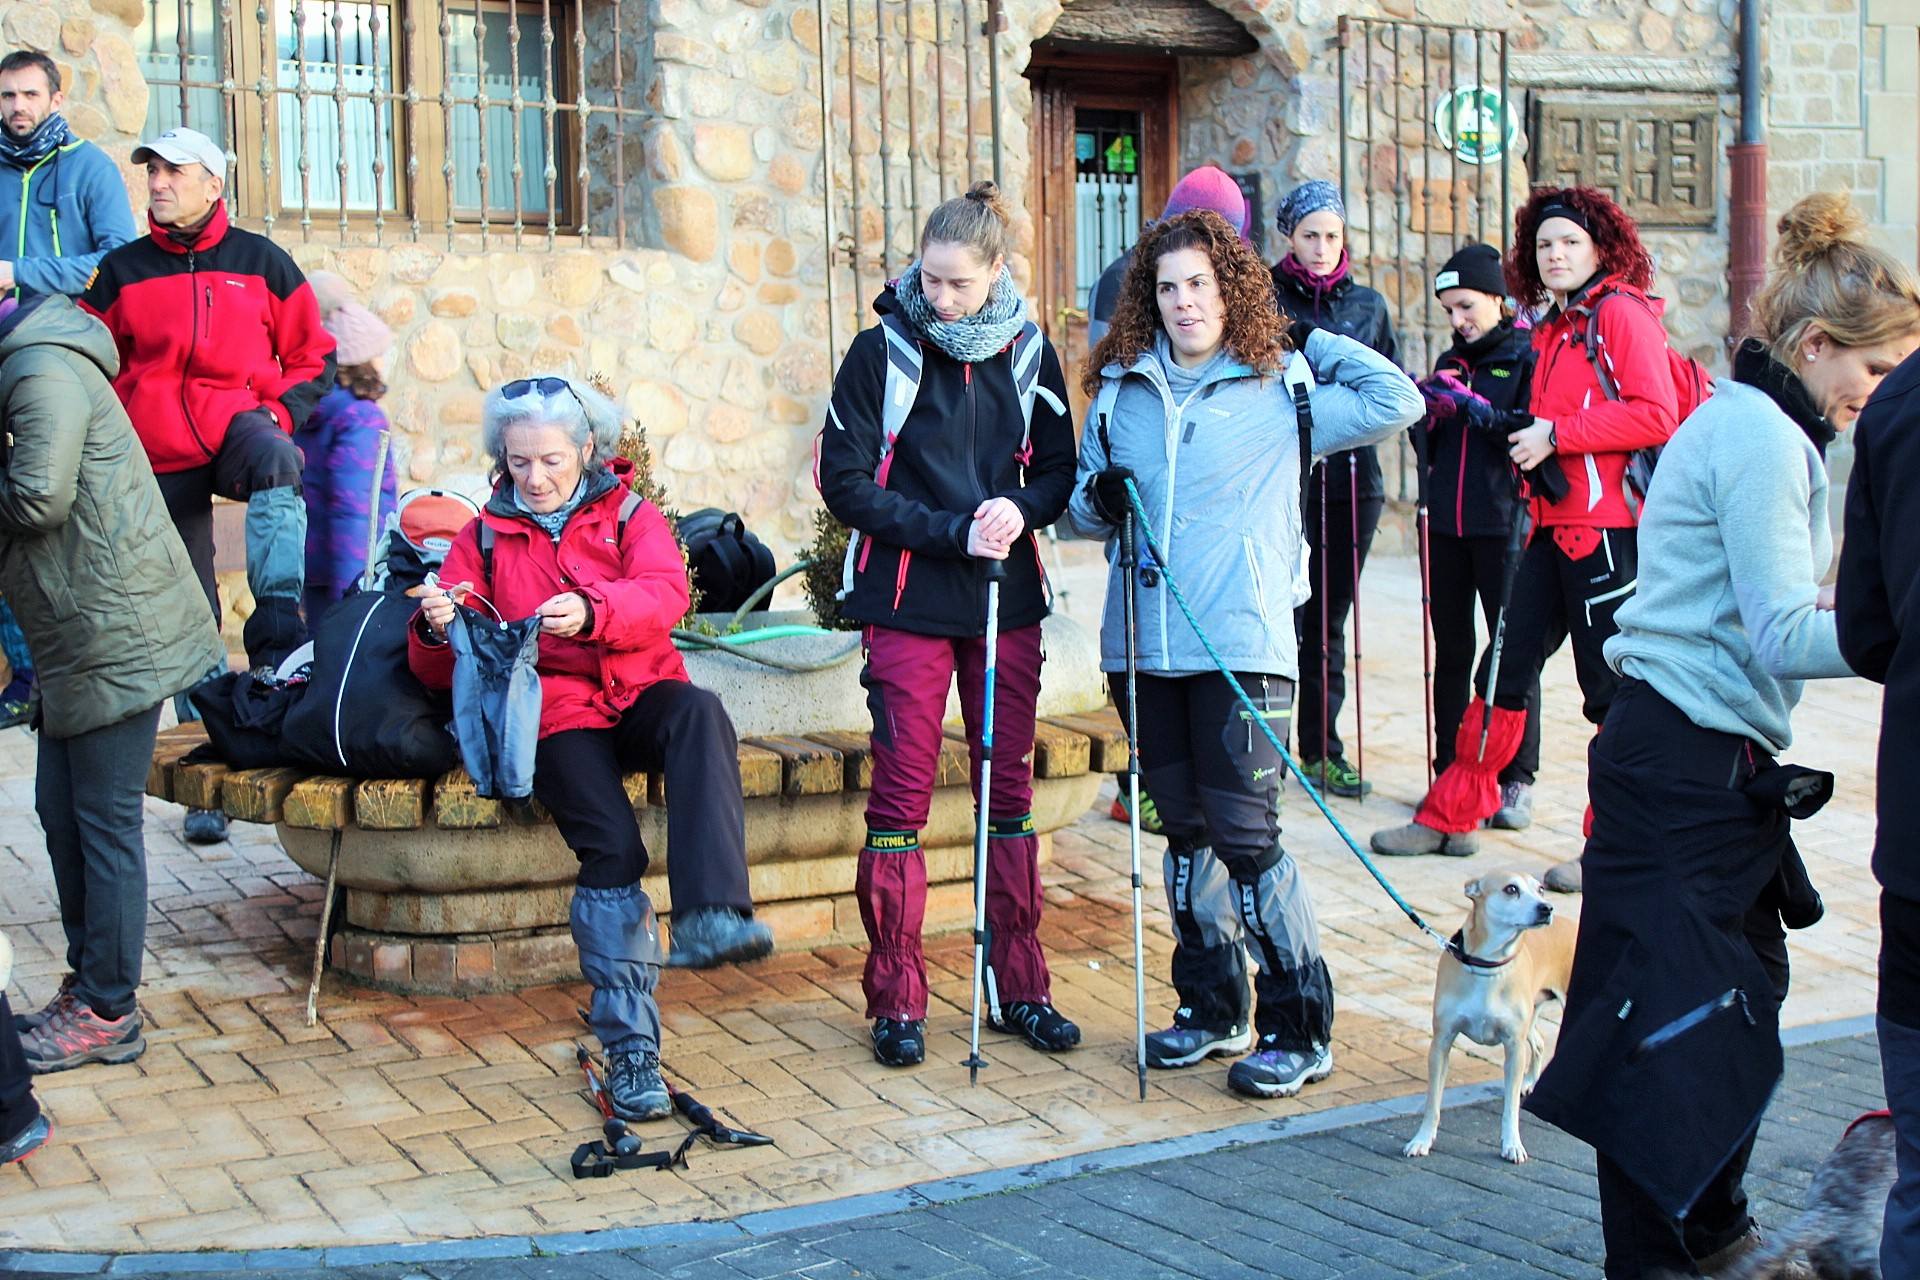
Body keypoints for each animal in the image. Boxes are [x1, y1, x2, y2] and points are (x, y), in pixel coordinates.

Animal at [1405, 875, 1582, 1166]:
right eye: (1511, 889)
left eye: (1541, 889)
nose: (1546, 908)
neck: (1487, 965)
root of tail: (1573, 924)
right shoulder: (1441, 1043)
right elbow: (1432, 1102)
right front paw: (1422, 1140)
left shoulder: (1514, 1046)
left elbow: (1510, 1108)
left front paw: (1512, 1145)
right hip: (1529, 1017)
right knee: (1539, 1042)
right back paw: (1530, 1081)